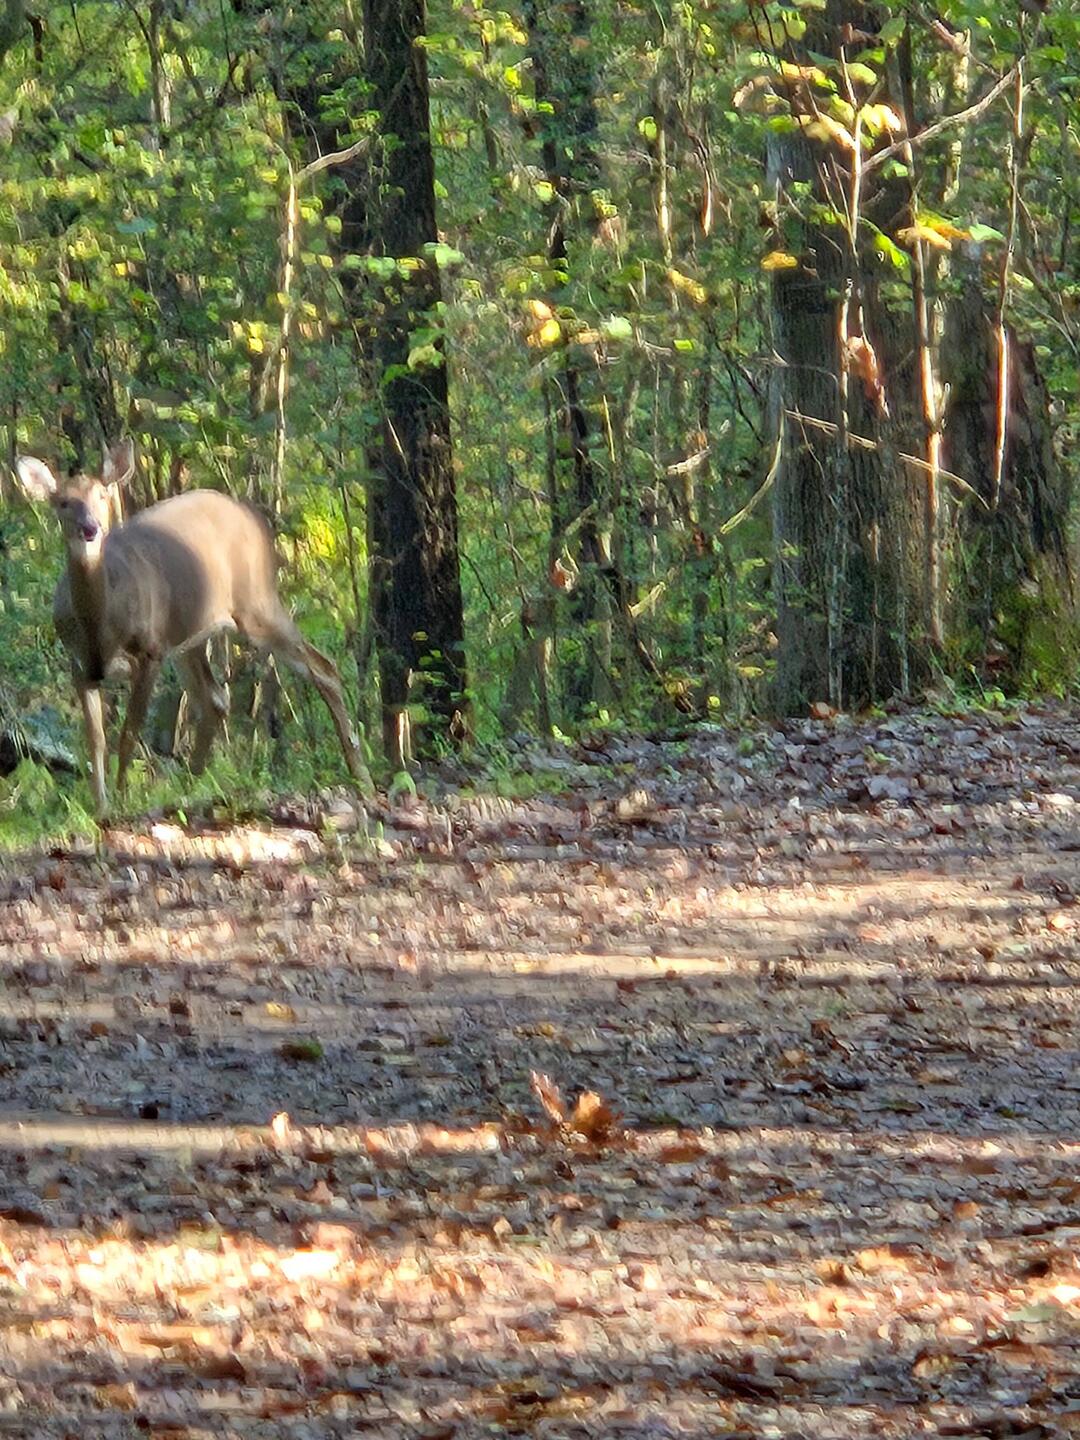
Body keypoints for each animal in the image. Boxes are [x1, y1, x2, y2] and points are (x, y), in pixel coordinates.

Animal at [13, 439, 370, 817]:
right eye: (63, 502)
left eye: (102, 495)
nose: (91, 527)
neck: (100, 627)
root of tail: (255, 519)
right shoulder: (80, 666)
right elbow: (95, 740)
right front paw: (101, 808)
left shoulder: (151, 651)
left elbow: (128, 733)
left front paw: (123, 800)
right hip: (190, 634)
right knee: (216, 699)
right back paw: (191, 786)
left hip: (255, 602)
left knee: (324, 667)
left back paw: (360, 775)